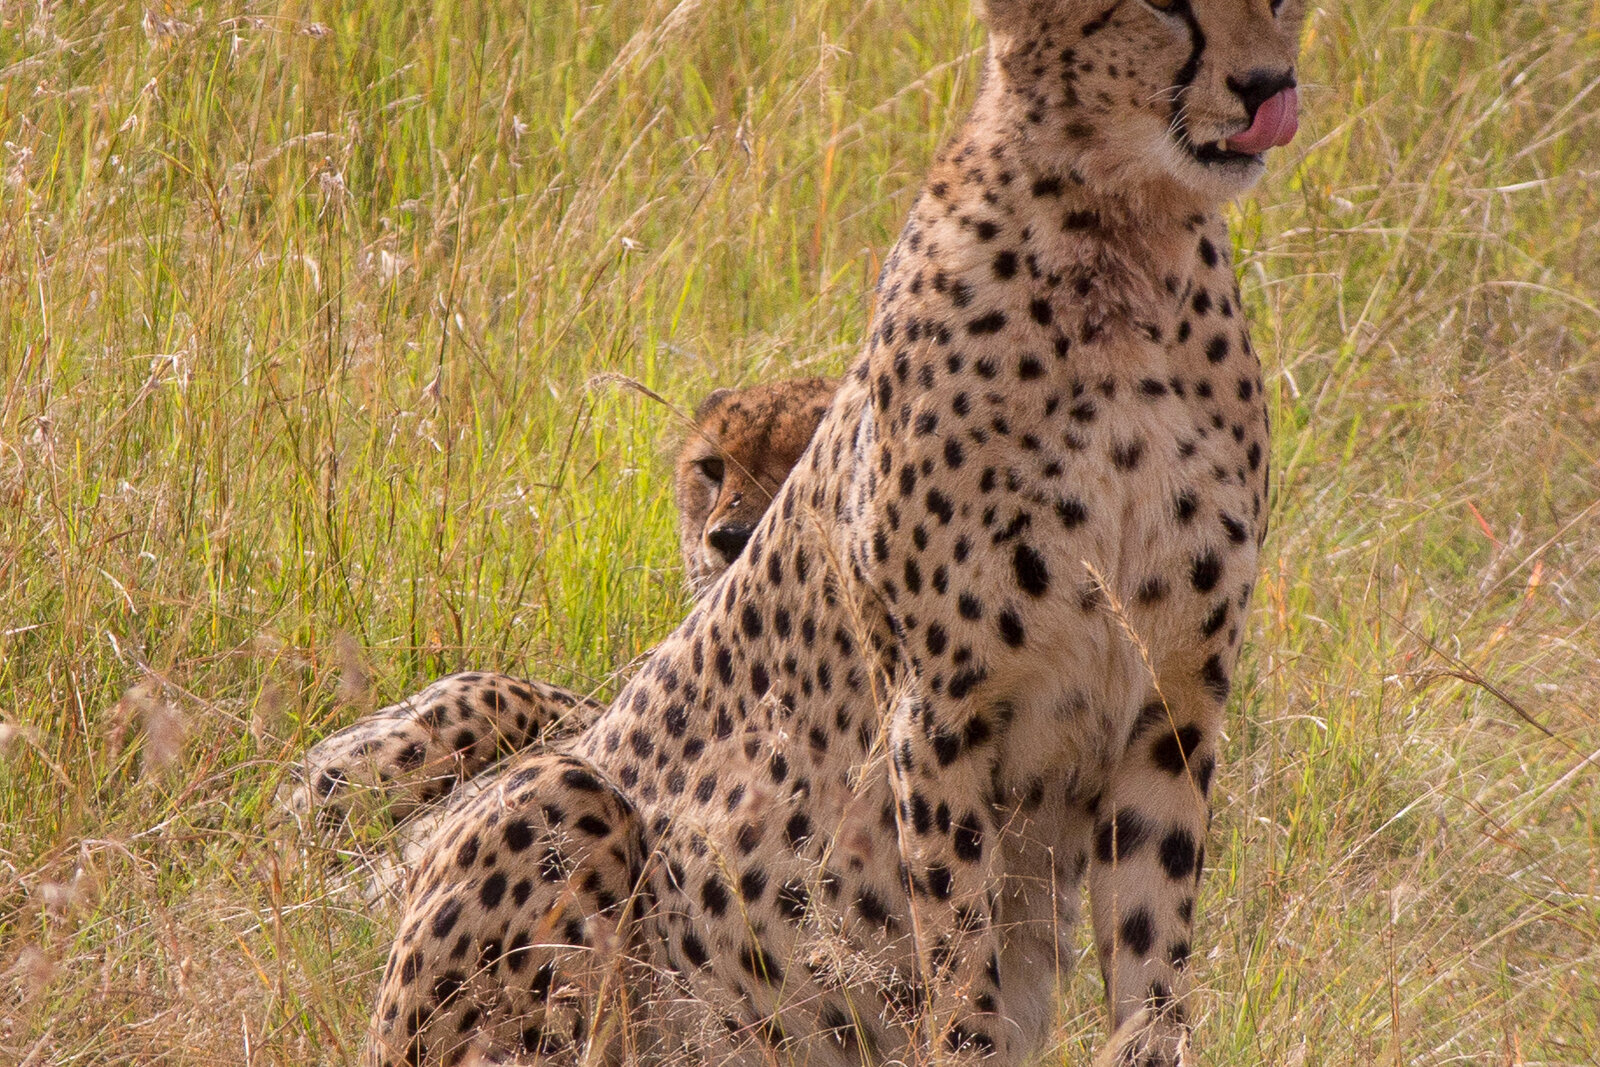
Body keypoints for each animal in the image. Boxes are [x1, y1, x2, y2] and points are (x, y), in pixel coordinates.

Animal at [362, 0, 1306, 1064]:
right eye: (1162, 8)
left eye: (1283, 3)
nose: (1269, 87)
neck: (1126, 245)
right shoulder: (940, 709)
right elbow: (959, 940)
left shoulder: (1170, 706)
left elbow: (1153, 958)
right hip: (562, 803)